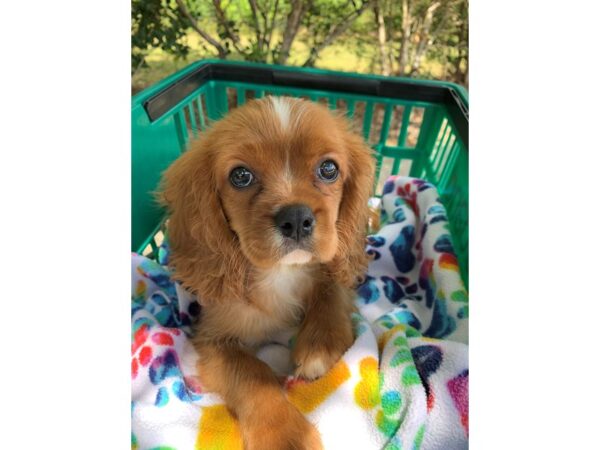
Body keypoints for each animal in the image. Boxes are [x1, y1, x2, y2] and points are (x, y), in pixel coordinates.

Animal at [159, 97, 376, 450]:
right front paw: (286, 436)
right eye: (241, 176)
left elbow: (330, 288)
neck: (280, 273)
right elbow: (251, 373)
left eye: (329, 169)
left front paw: (321, 345)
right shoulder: (212, 338)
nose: (297, 217)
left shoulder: (332, 264)